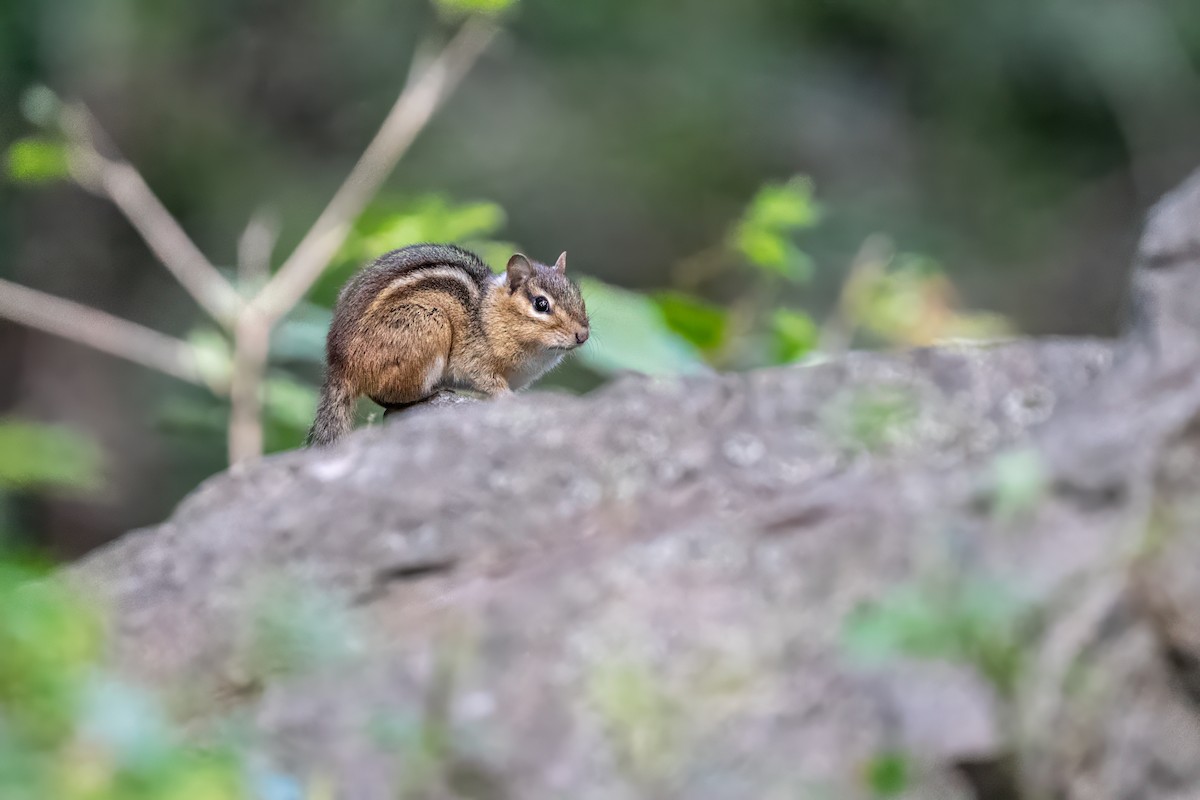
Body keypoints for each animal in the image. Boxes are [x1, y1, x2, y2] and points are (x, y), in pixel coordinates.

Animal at [307, 243, 590, 446]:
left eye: (580, 297)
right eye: (541, 304)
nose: (583, 335)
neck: (487, 313)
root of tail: (338, 367)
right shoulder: (476, 361)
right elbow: (491, 384)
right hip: (428, 325)